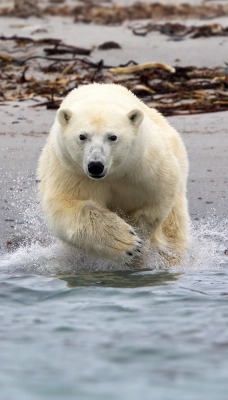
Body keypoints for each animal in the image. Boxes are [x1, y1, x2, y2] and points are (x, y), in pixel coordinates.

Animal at [37, 83, 190, 266]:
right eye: (82, 136)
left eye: (113, 137)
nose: (96, 166)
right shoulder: (71, 171)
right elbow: (66, 205)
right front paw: (126, 242)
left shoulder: (144, 165)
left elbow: (157, 198)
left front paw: (138, 236)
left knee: (173, 226)